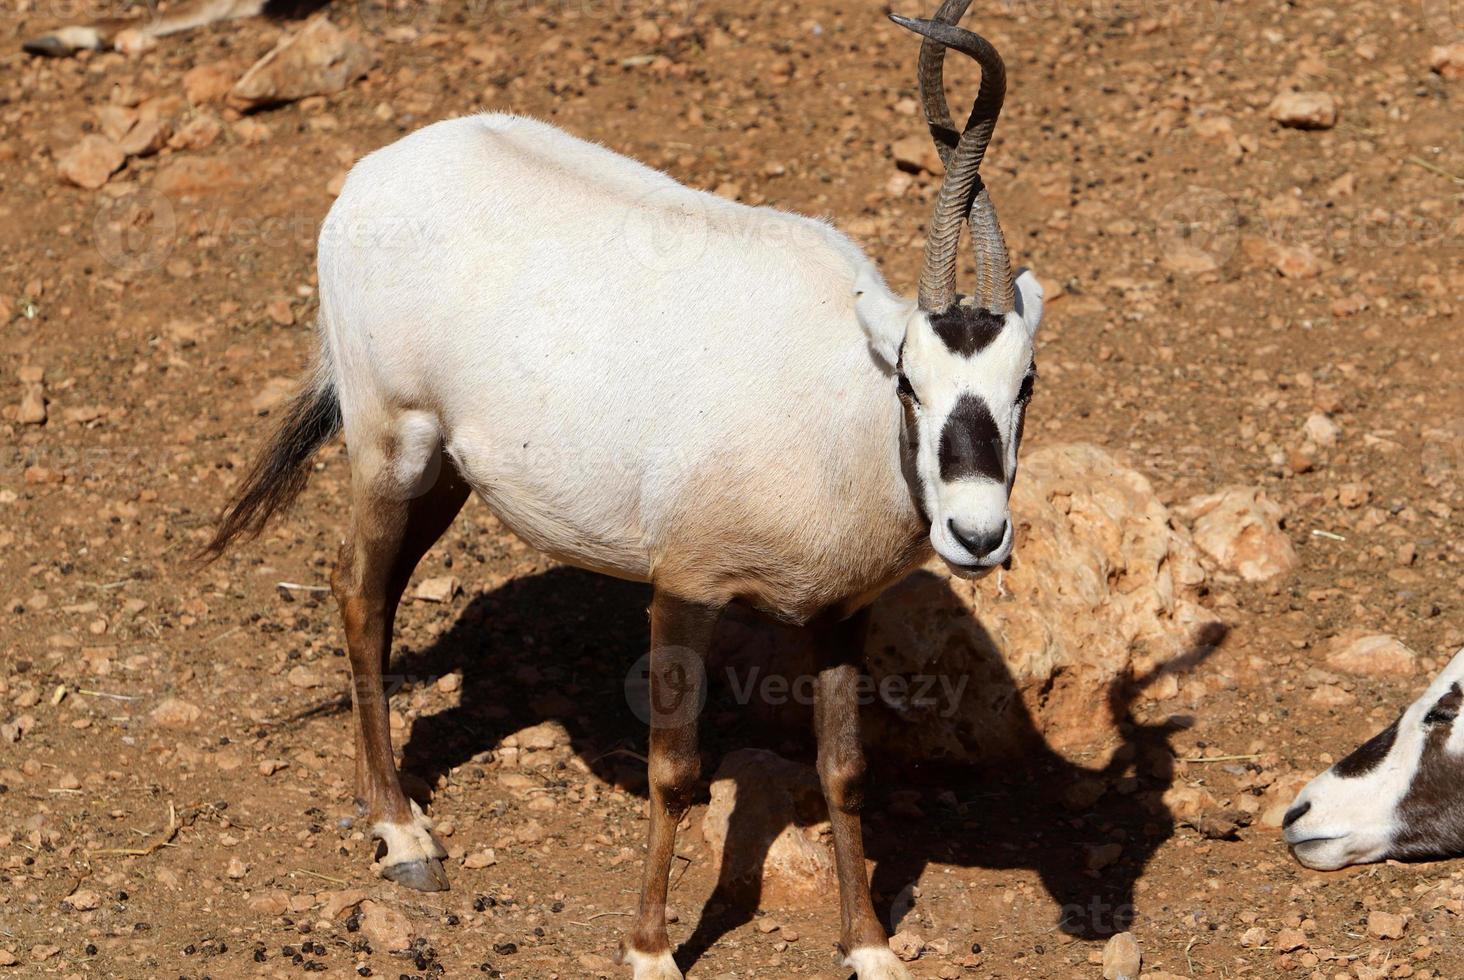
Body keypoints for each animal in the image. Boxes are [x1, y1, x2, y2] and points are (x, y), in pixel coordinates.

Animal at [203, 3, 1042, 972]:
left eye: (1025, 382)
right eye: (911, 381)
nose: (976, 535)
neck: (841, 394)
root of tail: (375, 176)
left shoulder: (840, 609)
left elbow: (845, 772)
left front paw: (868, 947)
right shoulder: (686, 585)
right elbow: (674, 774)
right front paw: (649, 949)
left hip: (449, 469)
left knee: (376, 587)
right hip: (390, 444)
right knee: (358, 590)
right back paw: (402, 834)